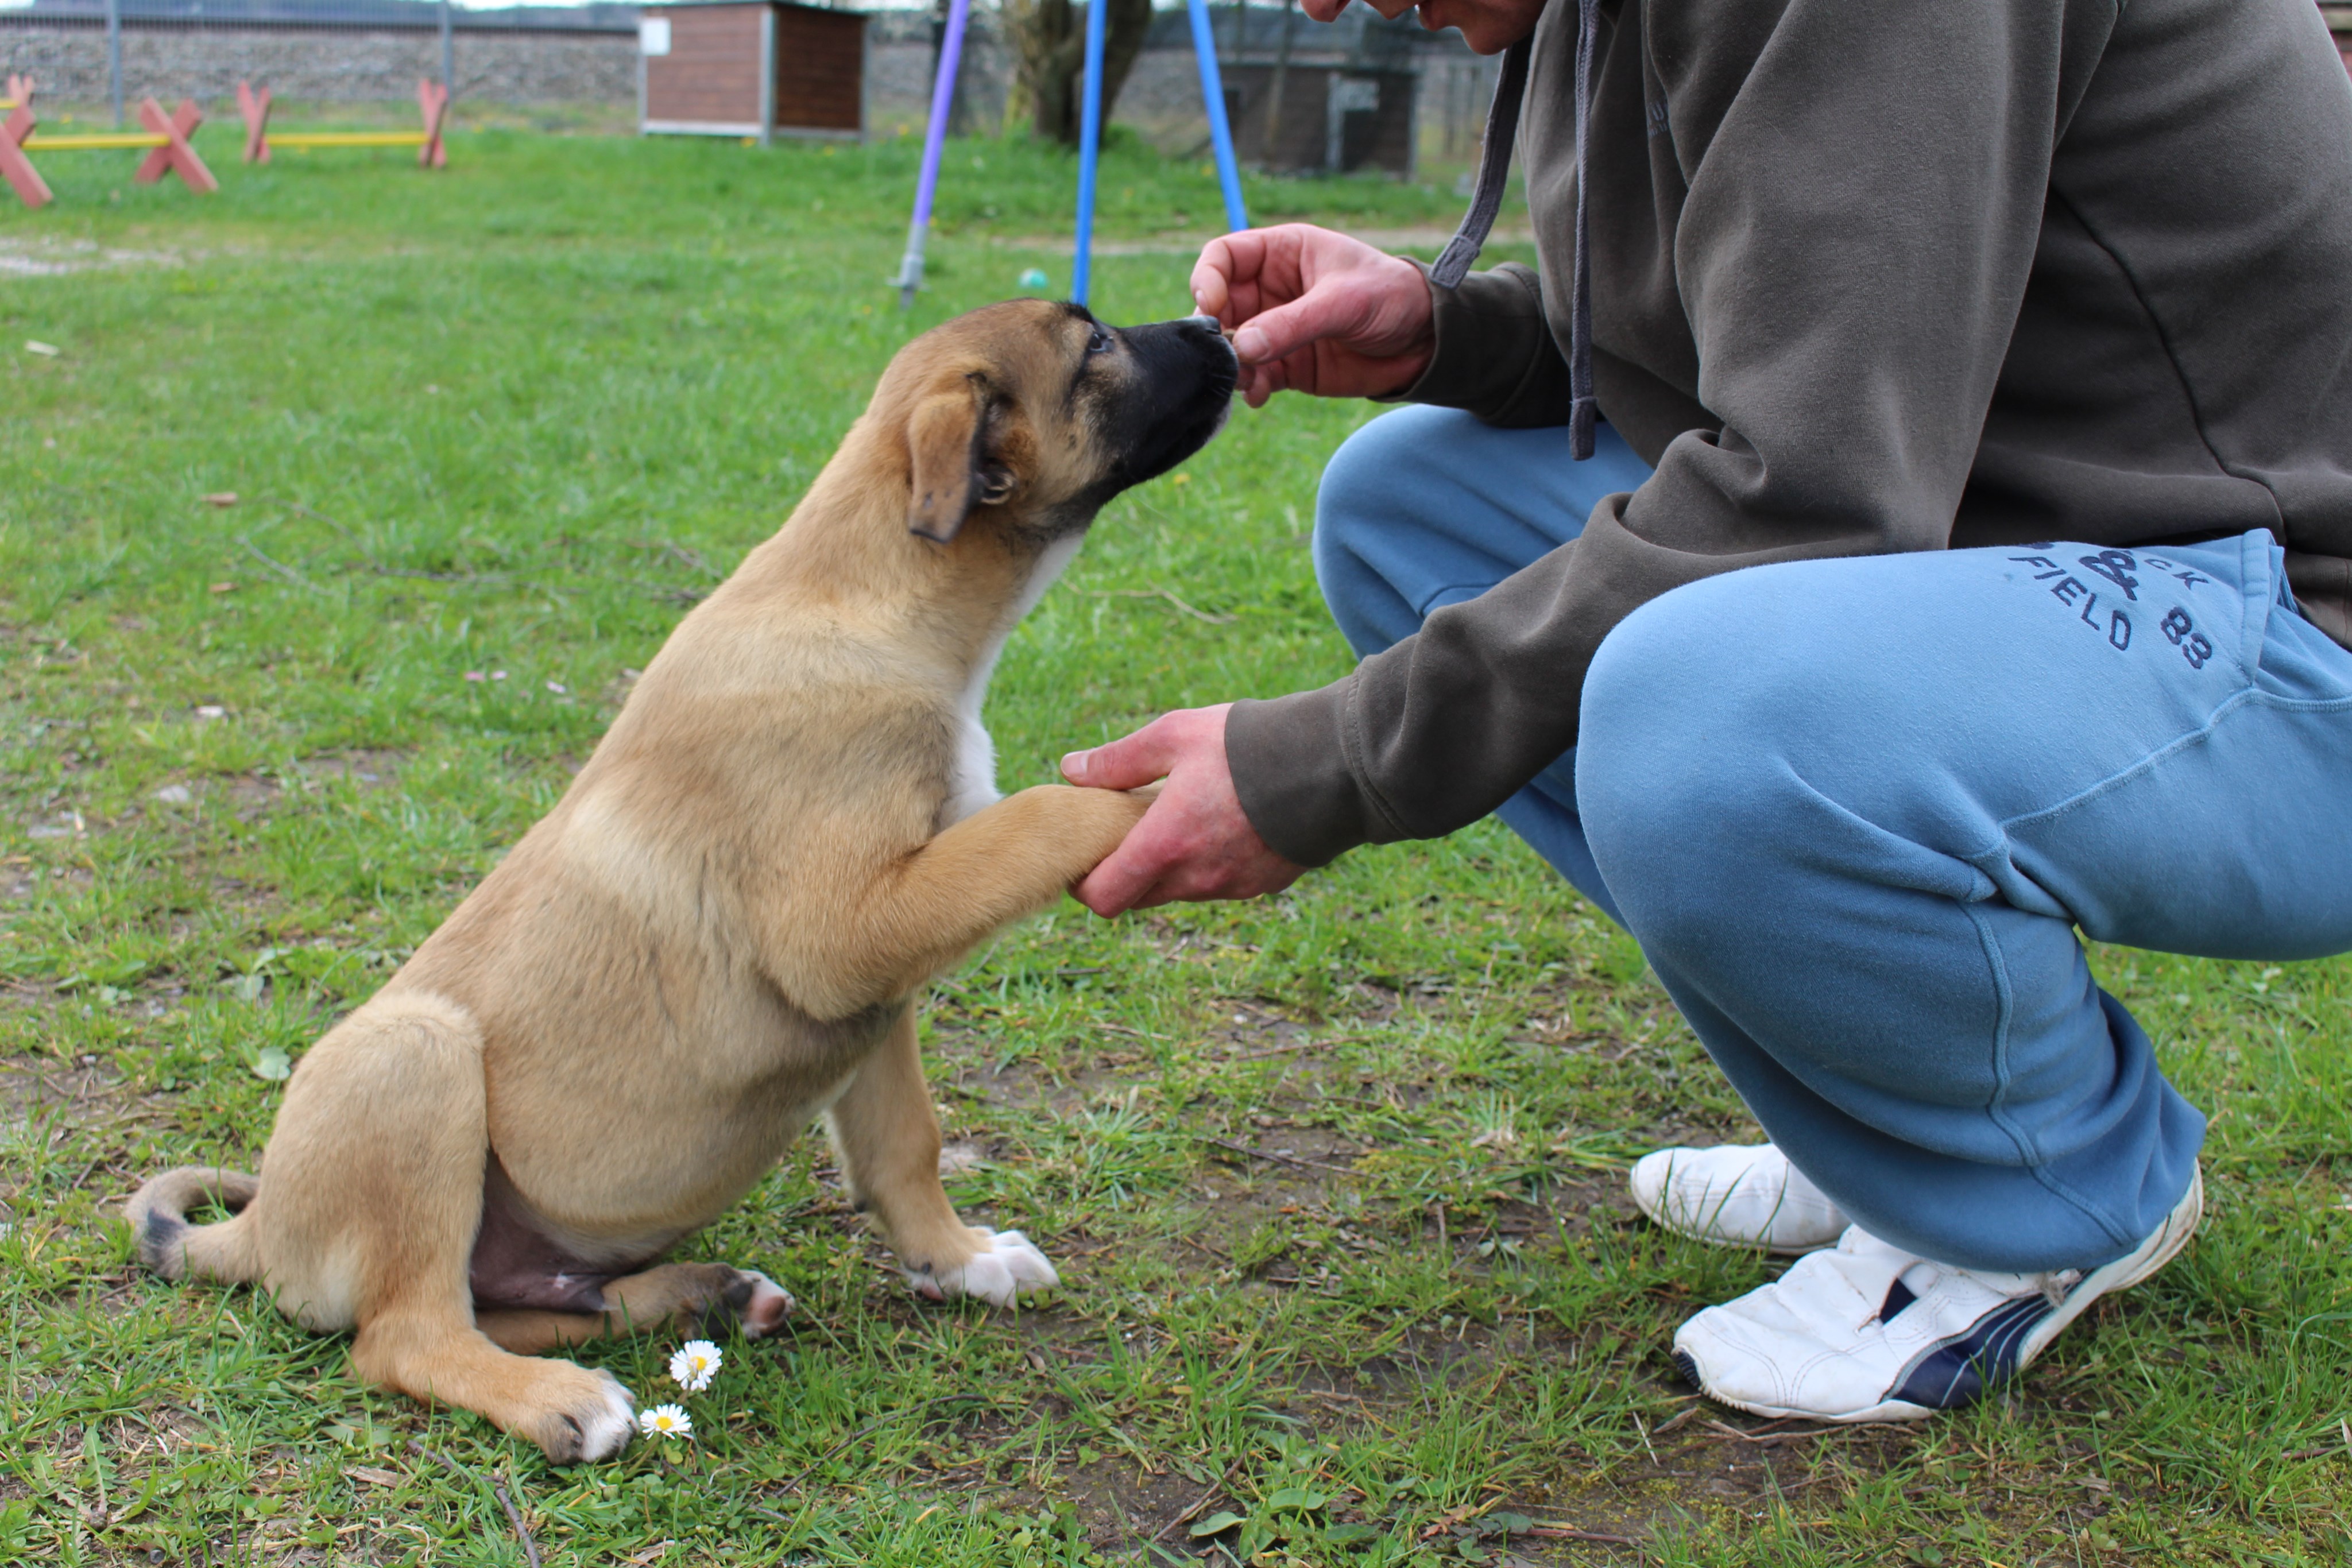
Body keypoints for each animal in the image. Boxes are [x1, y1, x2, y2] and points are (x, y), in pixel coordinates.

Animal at [126, 301, 1241, 1466]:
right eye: (1096, 347)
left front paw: (958, 1255)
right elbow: (1039, 812)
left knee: (520, 1303)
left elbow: (906, 1144)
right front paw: (1165, 795)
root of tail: (260, 1229)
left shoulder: (875, 993)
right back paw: (564, 1398)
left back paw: (702, 1294)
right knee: (406, 1334)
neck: (871, 598)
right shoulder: (844, 931)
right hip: (412, 1053)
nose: (1217, 323)